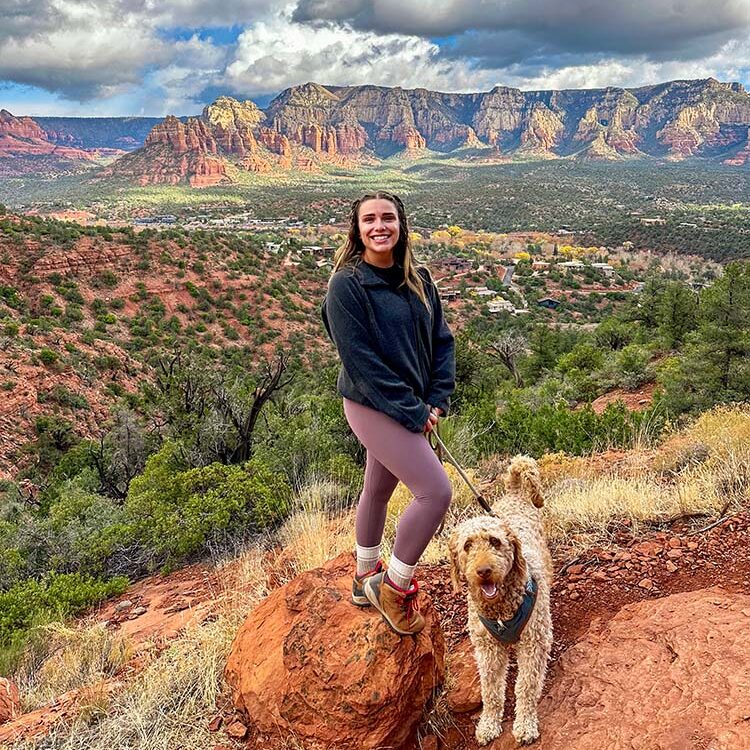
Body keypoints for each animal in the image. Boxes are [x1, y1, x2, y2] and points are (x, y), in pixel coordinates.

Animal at [450, 456, 556, 748]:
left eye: (495, 541)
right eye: (467, 545)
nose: (484, 570)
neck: (501, 610)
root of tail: (515, 493)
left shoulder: (533, 642)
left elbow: (526, 686)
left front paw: (525, 724)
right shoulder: (488, 649)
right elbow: (491, 690)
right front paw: (488, 724)